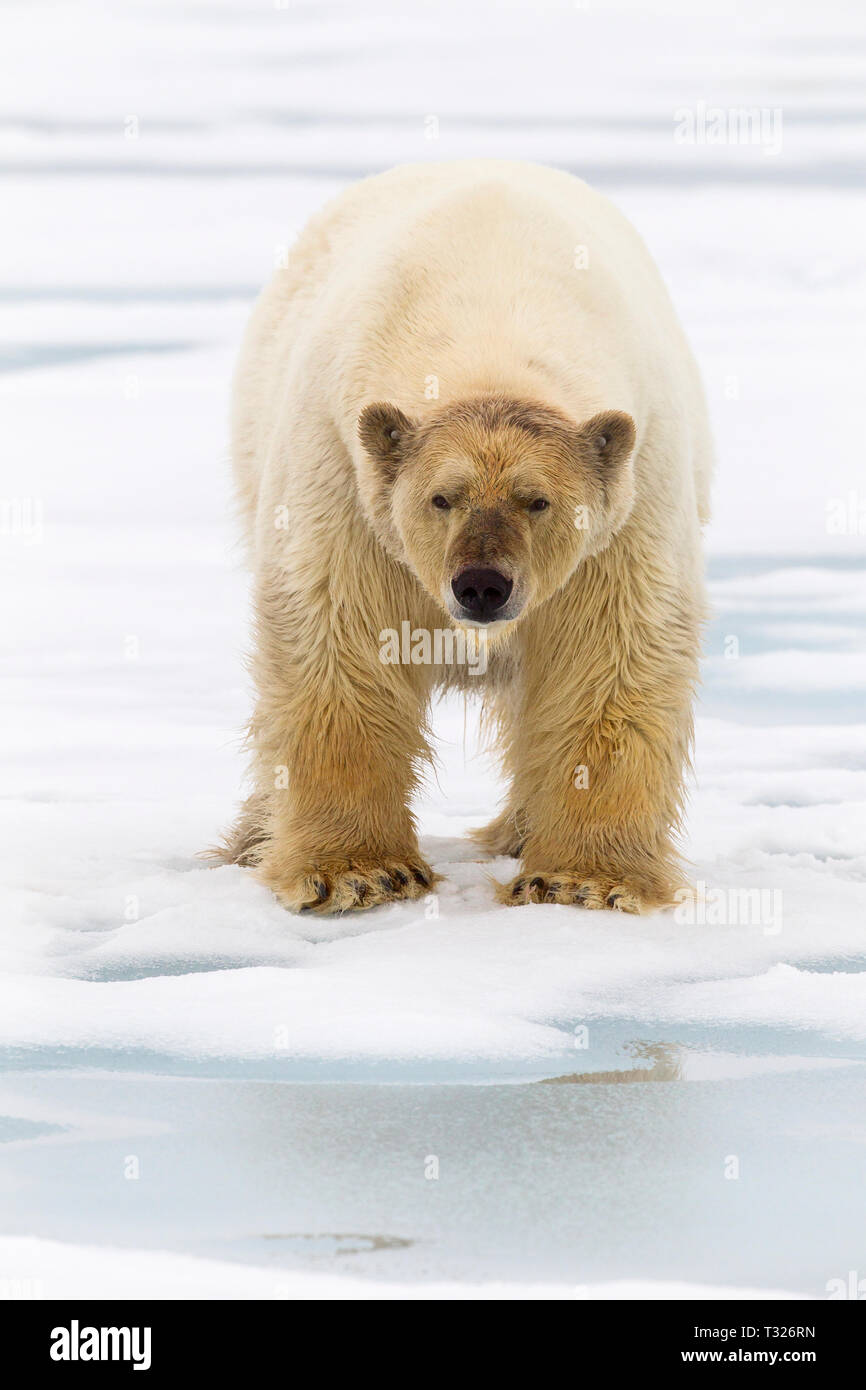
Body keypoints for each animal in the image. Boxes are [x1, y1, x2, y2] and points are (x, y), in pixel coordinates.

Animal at [219, 159, 717, 911]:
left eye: (538, 501)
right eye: (440, 498)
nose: (482, 585)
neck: (490, 323)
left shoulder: (632, 501)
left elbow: (610, 657)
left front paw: (581, 881)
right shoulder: (345, 480)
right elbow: (340, 646)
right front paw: (360, 873)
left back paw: (518, 831)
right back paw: (251, 839)